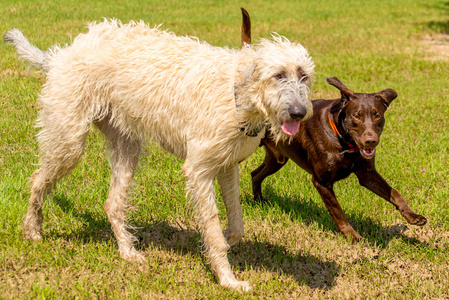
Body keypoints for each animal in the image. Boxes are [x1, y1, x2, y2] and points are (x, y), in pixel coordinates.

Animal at [3, 19, 314, 290]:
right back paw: (32, 230)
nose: (300, 113)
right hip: (68, 142)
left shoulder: (227, 166)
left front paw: (224, 241)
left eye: (304, 76)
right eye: (278, 75)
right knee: (38, 180)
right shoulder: (199, 170)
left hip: (126, 149)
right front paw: (227, 279)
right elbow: (212, 225)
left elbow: (235, 224)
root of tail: (59, 55)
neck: (237, 92)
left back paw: (127, 251)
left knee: (112, 204)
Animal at [242, 9, 428, 241]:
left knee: (255, 174)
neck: (343, 141)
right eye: (357, 116)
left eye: (377, 115)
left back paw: (259, 200)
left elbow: (395, 193)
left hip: (278, 158)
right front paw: (352, 236)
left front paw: (413, 216)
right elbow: (338, 211)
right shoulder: (321, 181)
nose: (371, 141)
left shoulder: (367, 174)